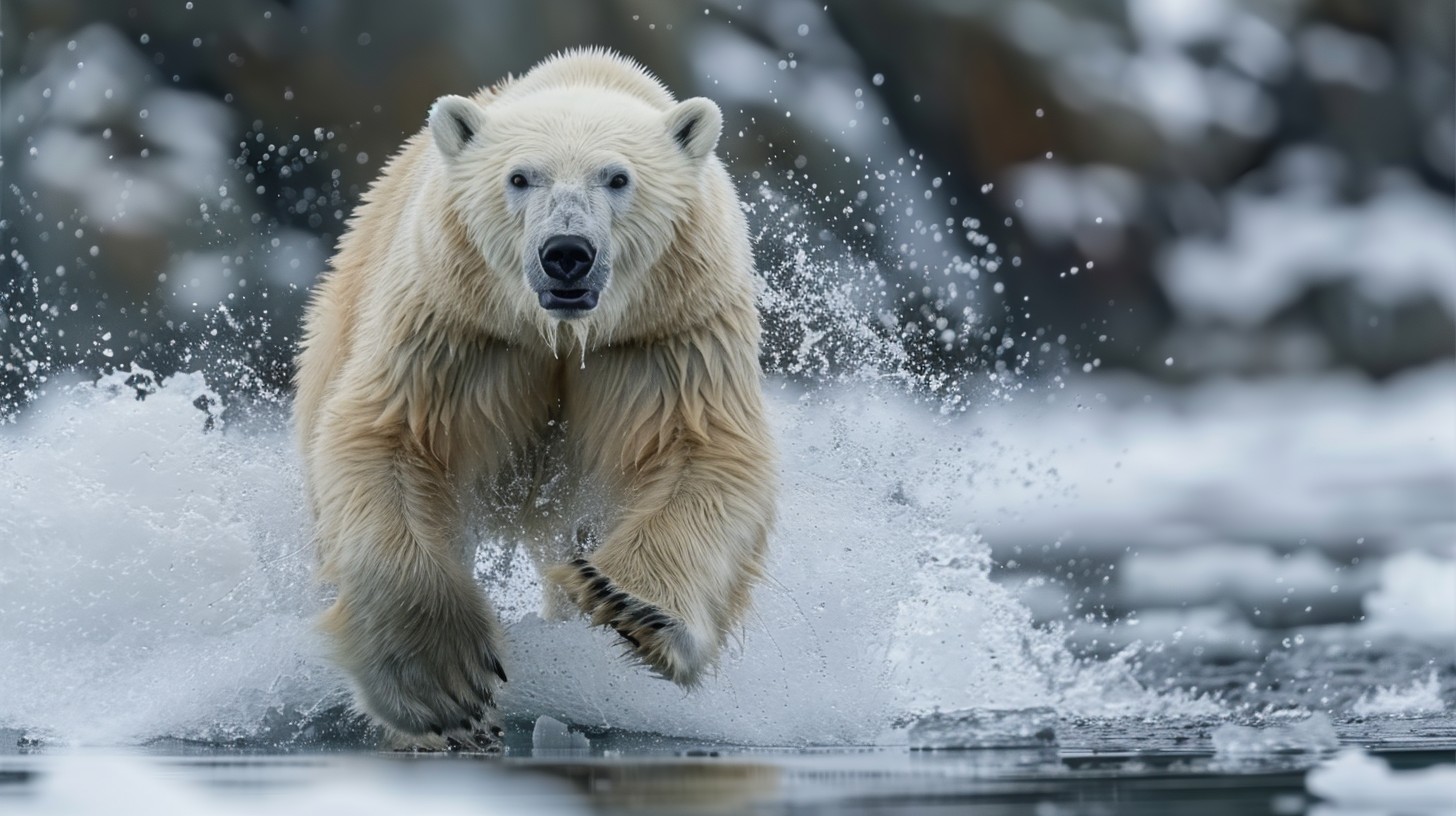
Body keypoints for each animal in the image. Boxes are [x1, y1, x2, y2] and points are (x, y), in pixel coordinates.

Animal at [289, 49, 780, 751]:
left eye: (617, 177)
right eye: (520, 177)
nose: (566, 254)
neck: (562, 332)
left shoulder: (667, 332)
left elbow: (706, 453)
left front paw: (624, 602)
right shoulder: (457, 324)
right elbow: (391, 441)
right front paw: (448, 692)